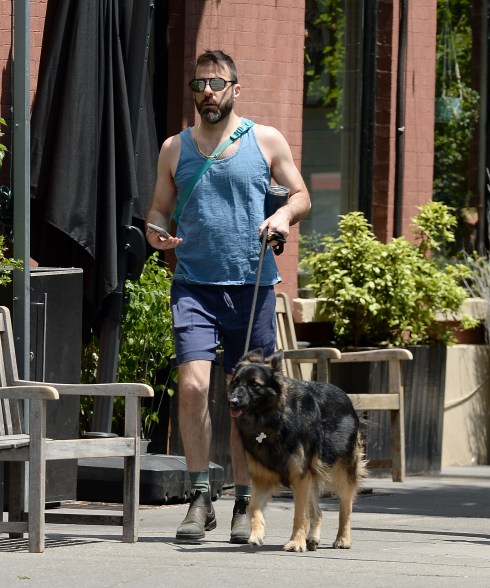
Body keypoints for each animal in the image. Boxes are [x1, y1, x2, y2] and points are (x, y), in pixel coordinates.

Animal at [230, 350, 368, 552]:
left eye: (255, 385)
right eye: (235, 383)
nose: (232, 401)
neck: (274, 420)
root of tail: (345, 396)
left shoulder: (300, 477)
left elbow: (300, 515)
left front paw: (296, 542)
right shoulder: (264, 478)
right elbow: (253, 507)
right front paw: (257, 533)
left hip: (340, 474)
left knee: (345, 507)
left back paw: (343, 538)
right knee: (318, 513)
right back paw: (312, 539)